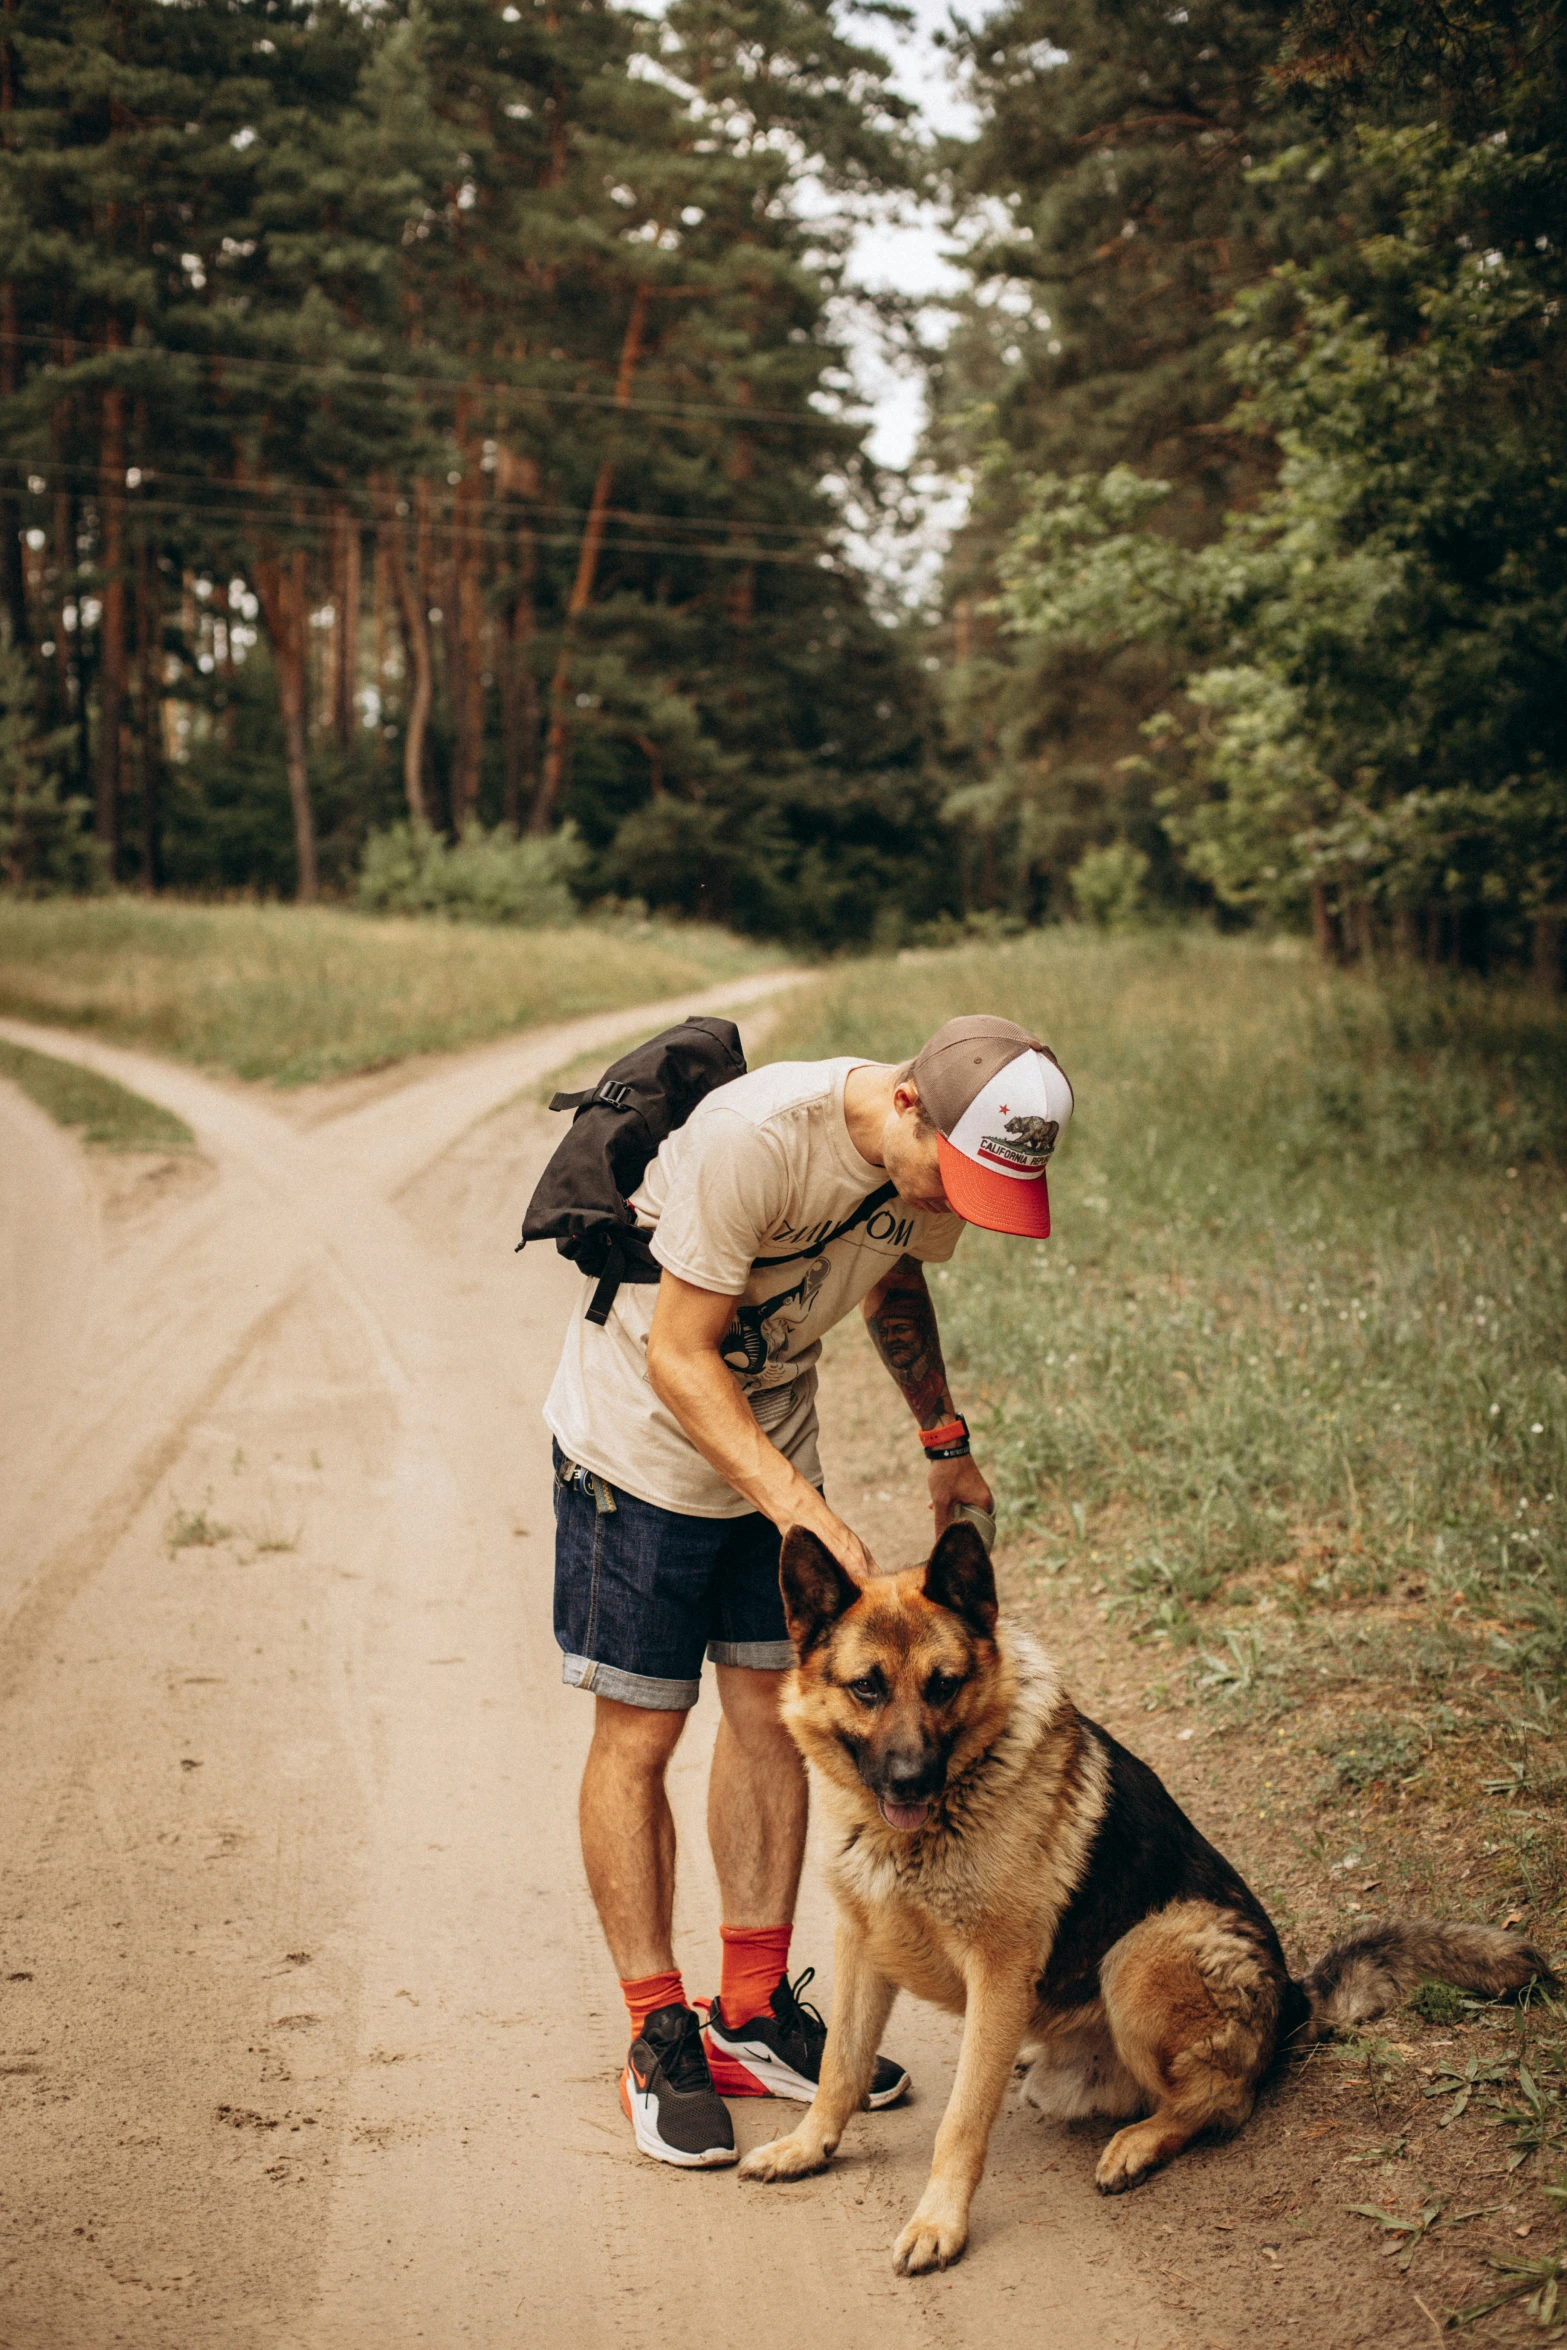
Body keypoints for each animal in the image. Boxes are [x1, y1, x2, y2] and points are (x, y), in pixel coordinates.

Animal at [742, 1522, 1550, 2274]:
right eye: (867, 1687)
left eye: (943, 1684)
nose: (910, 1782)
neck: (927, 1822)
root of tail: (1291, 1995)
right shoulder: (860, 1942)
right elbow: (839, 2069)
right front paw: (807, 2147)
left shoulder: (996, 1970)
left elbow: (960, 2120)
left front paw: (938, 2222)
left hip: (1142, 1954)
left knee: (1223, 2101)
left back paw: (1139, 2143)